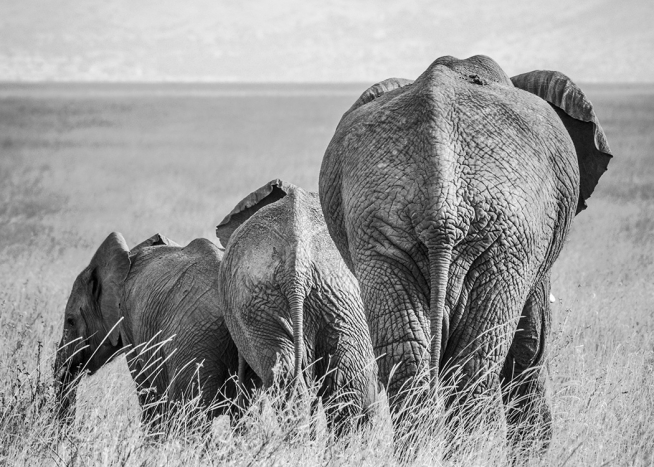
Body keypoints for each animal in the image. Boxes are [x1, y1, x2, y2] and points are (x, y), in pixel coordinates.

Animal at [319, 55, 612, 447]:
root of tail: (442, 198)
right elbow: (531, 343)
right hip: (505, 236)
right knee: (477, 361)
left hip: (382, 227)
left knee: (408, 354)